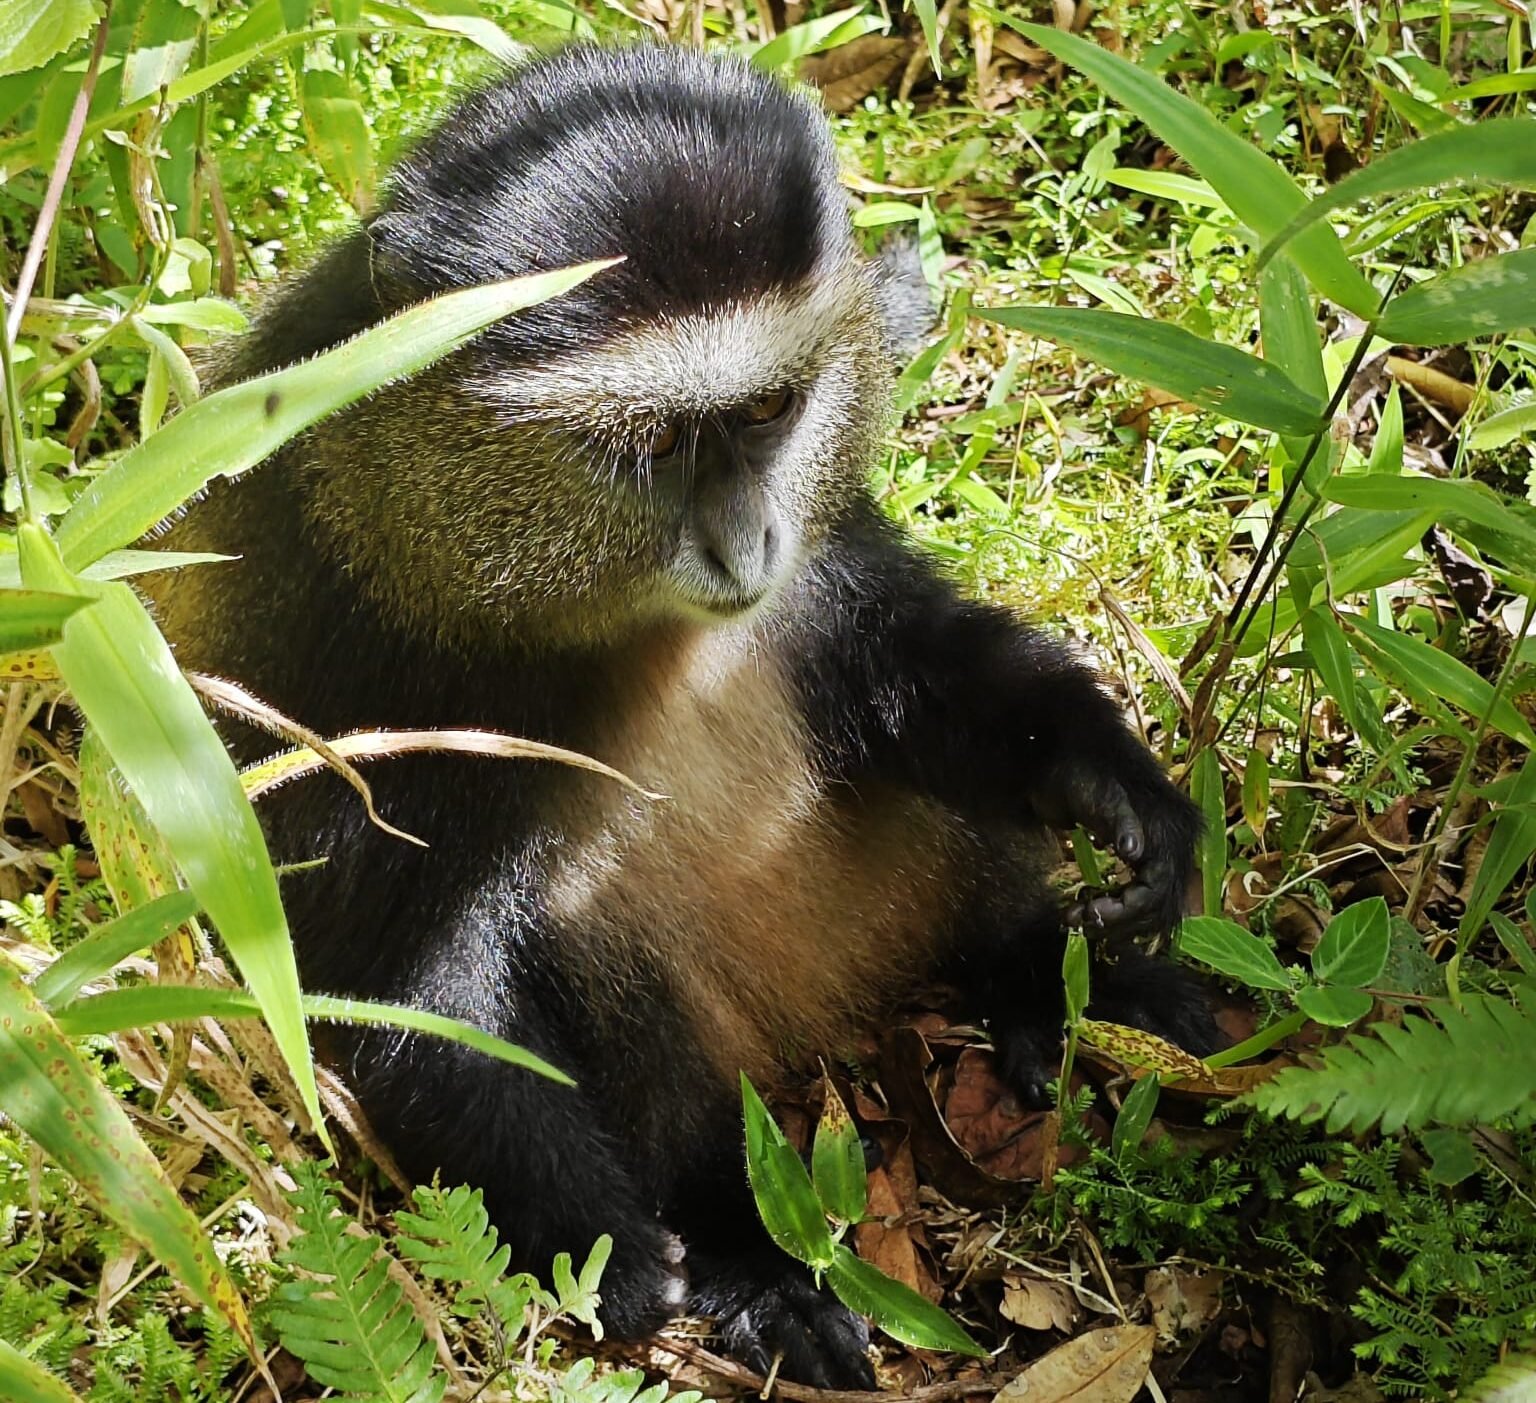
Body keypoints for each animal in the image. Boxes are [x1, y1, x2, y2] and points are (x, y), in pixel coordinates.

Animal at [146, 42, 1215, 1389]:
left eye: (765, 414)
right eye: (654, 442)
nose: (742, 539)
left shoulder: (823, 559)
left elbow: (916, 670)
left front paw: (1115, 783)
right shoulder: (343, 649)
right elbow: (395, 977)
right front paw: (605, 1244)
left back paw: (1042, 981)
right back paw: (750, 1249)